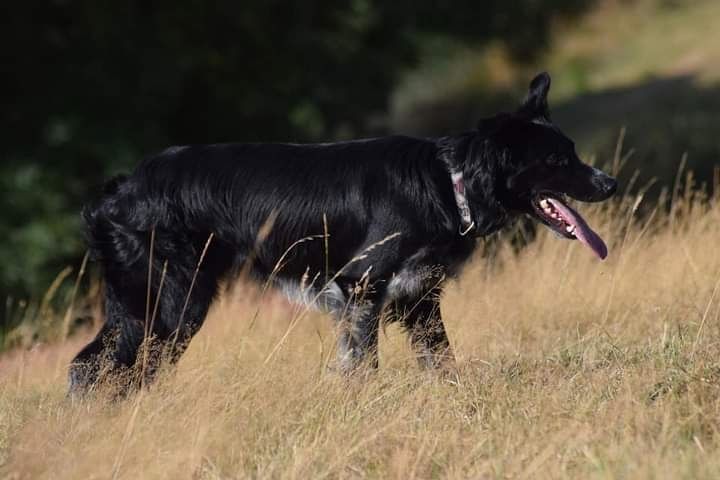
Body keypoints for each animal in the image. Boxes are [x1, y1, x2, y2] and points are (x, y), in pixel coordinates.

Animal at [70, 72, 616, 394]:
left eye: (571, 152)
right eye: (557, 160)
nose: (609, 183)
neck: (450, 182)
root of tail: (117, 192)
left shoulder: (417, 299)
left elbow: (440, 359)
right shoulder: (362, 286)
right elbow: (363, 364)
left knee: (100, 367)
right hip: (170, 301)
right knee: (98, 368)